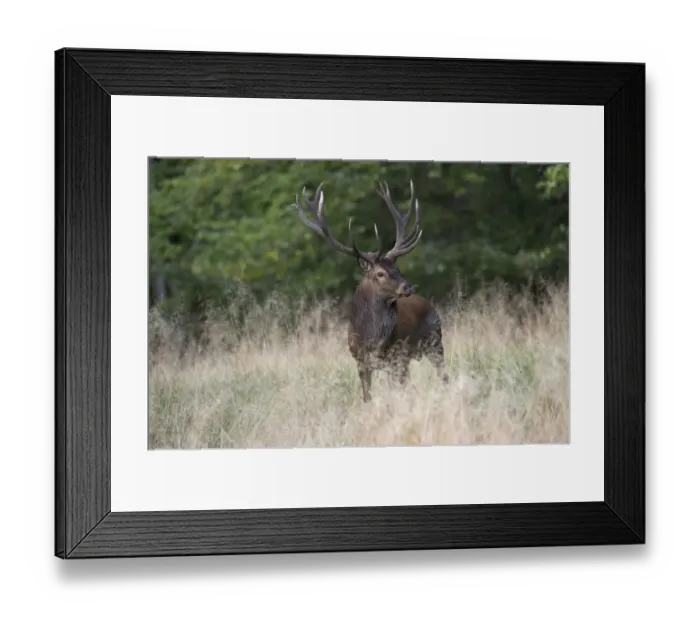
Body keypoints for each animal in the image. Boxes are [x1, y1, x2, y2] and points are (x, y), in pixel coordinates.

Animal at [292, 179, 449, 402]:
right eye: (380, 273)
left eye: (398, 269)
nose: (408, 286)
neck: (372, 339)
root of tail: (429, 304)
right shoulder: (360, 361)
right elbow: (367, 396)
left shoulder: (397, 357)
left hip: (435, 342)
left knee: (443, 376)